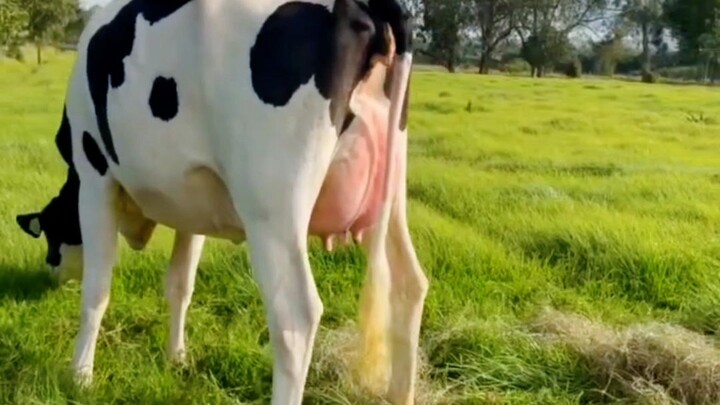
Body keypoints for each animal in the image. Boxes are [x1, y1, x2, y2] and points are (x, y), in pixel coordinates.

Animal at [14, 0, 428, 404]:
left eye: (51, 236)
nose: (49, 274)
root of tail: (363, 6)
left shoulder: (95, 178)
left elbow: (97, 288)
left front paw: (80, 375)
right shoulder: (192, 203)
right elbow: (180, 284)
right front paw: (176, 358)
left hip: (271, 209)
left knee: (295, 317)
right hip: (391, 195)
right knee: (409, 284)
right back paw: (399, 391)